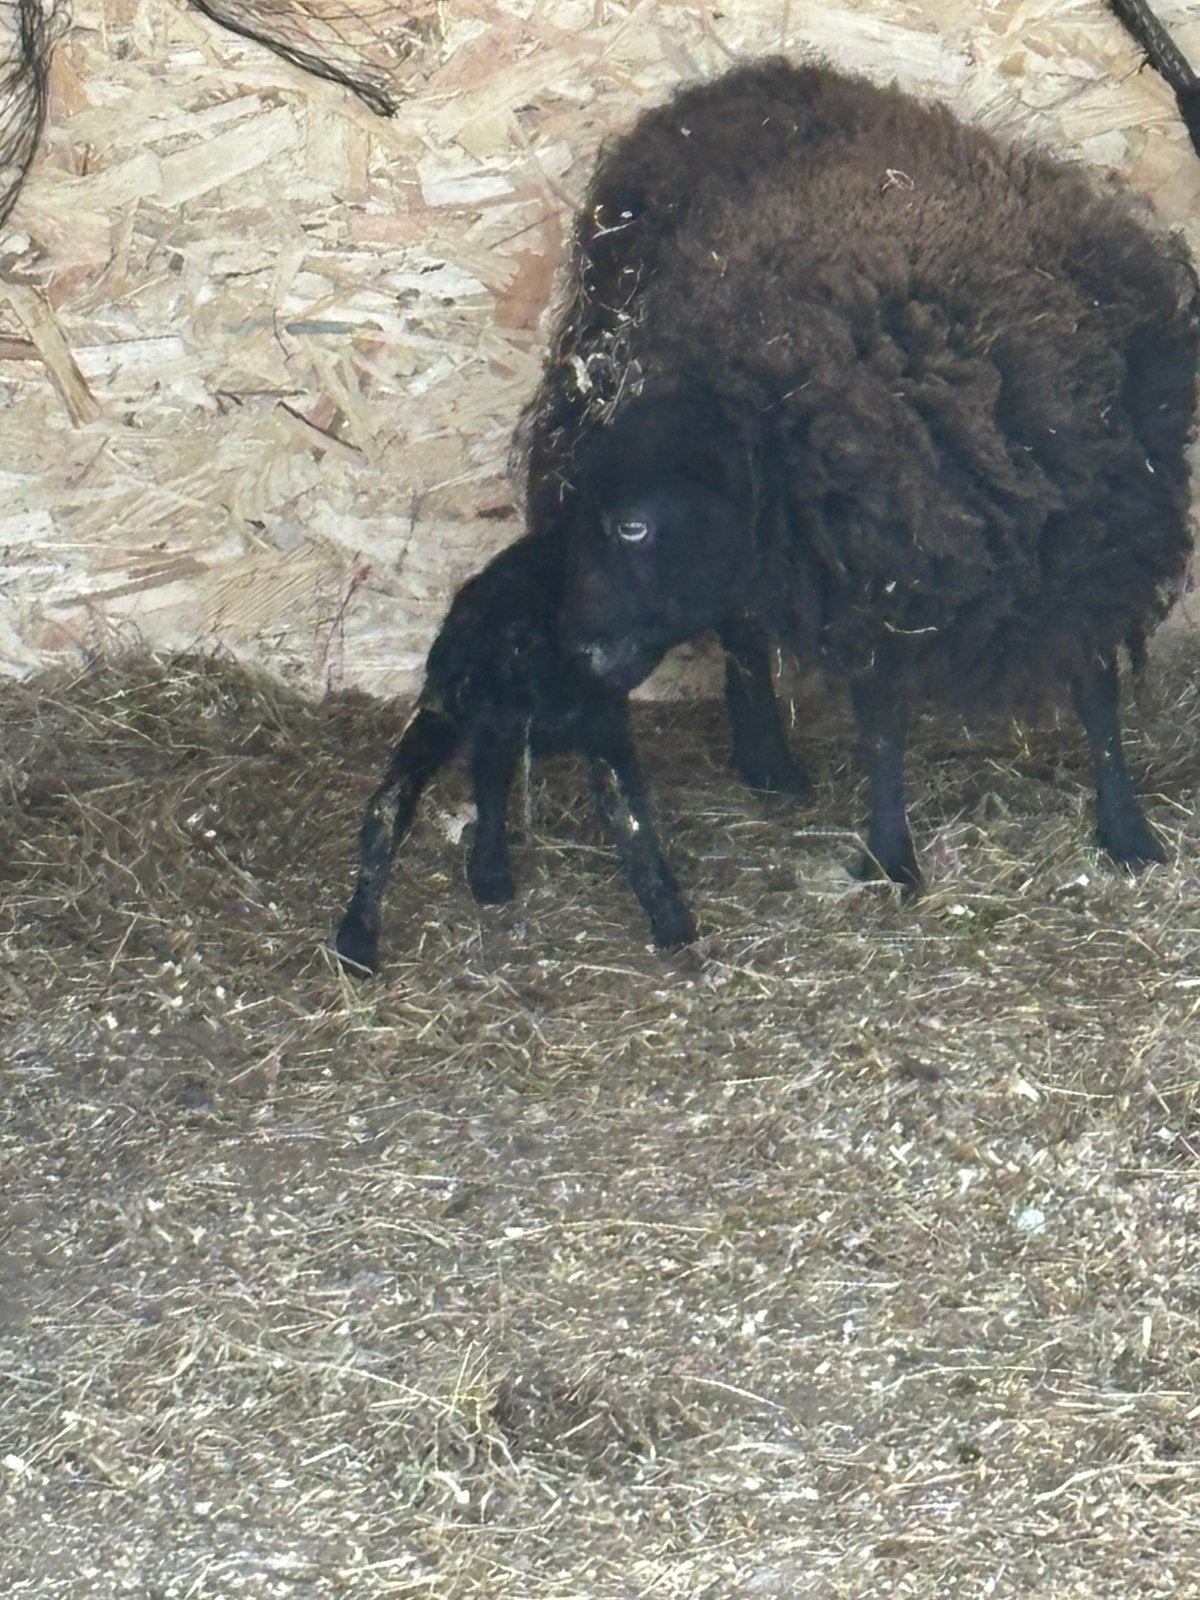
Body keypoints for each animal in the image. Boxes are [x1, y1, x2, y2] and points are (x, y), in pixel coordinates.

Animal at [520, 57, 1200, 895]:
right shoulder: (873, 575)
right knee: (743, 631)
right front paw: (889, 854)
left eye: (631, 526)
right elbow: (882, 720)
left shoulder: (1096, 549)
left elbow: (1098, 696)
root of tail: (731, 82)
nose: (578, 648)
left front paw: (1127, 833)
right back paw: (768, 760)